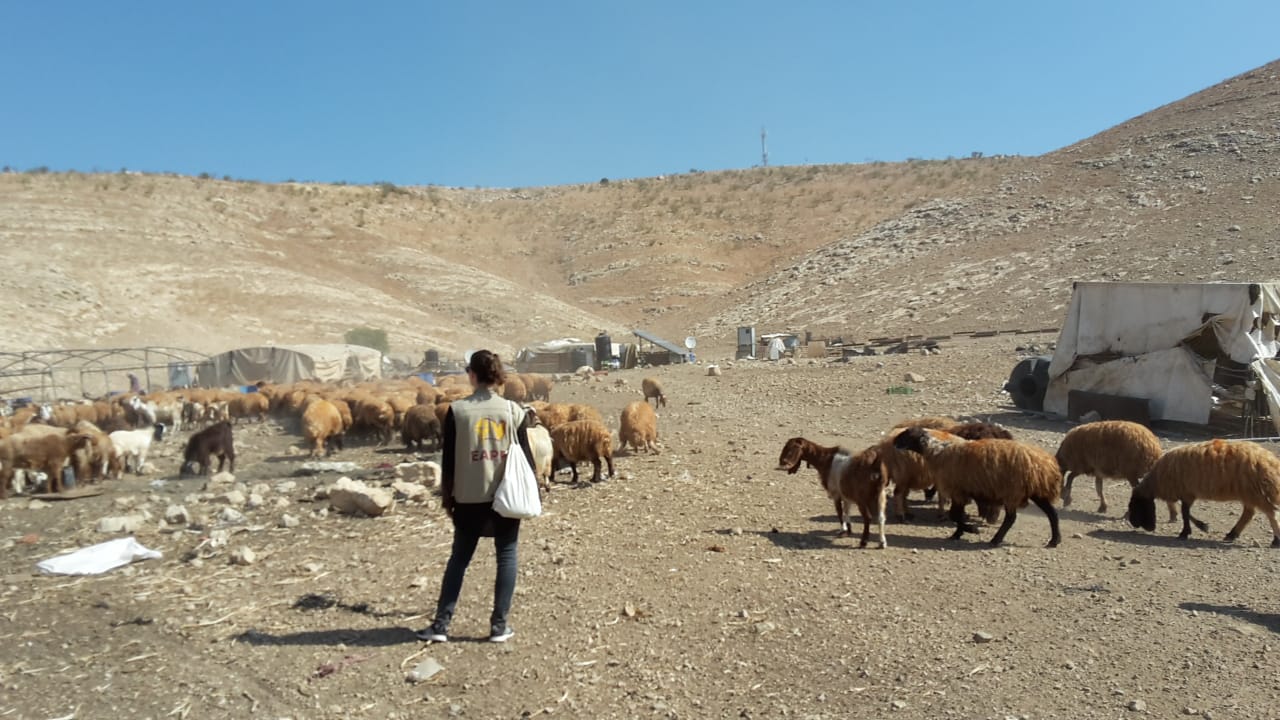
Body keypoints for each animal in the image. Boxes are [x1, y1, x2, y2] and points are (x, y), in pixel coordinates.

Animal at [1126, 438, 1280, 543]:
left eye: (1135, 506)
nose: (1134, 524)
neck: (1158, 479)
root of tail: (1270, 461)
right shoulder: (1188, 493)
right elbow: (1186, 512)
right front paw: (1201, 526)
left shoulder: (1187, 492)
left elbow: (1185, 513)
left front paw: (1185, 532)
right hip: (1249, 492)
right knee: (1249, 513)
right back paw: (1232, 534)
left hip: (1255, 491)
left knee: (1270, 512)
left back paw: (1276, 540)